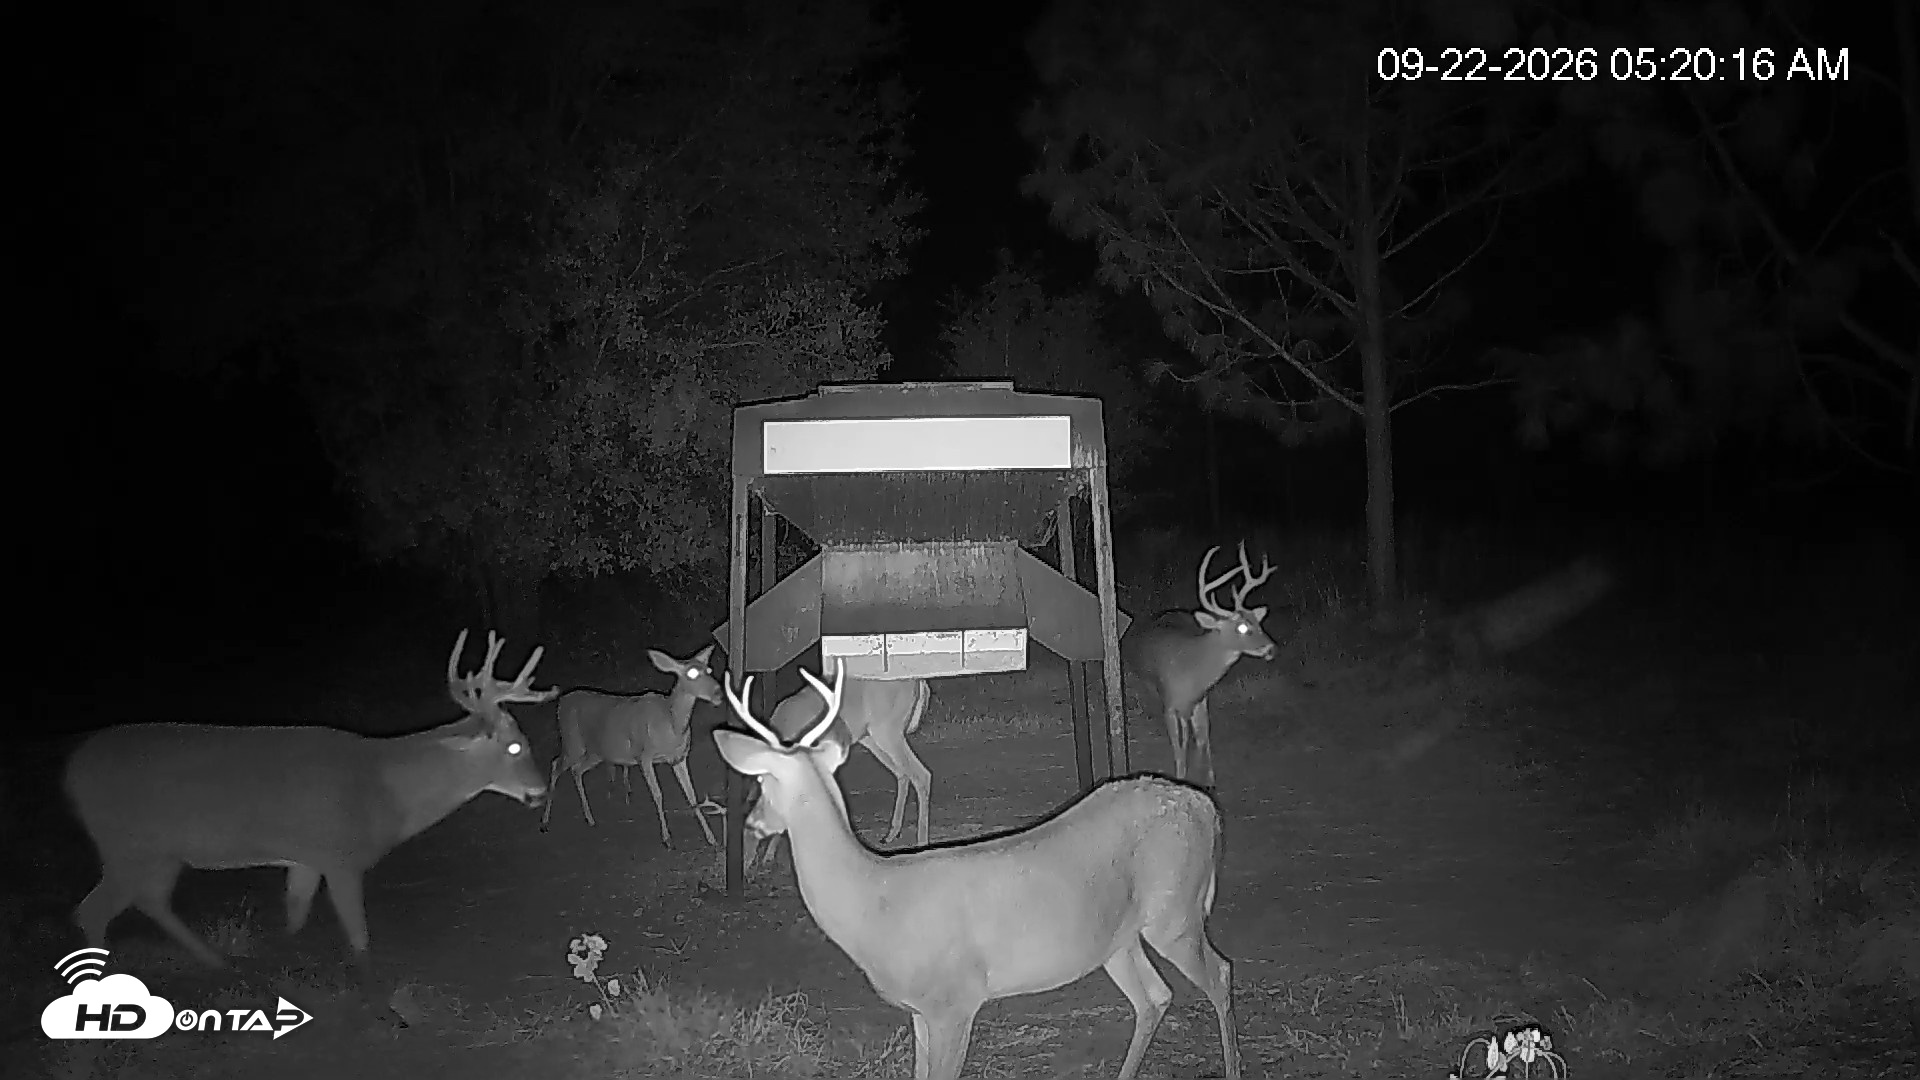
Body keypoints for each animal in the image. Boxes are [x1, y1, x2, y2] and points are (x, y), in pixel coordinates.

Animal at [63, 629, 554, 993]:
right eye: (515, 747)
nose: (540, 790)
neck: (383, 790)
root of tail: (70, 772)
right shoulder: (340, 856)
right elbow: (359, 938)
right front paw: (378, 998)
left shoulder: (305, 857)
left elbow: (295, 916)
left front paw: (288, 969)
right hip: (125, 843)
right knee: (92, 910)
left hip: (160, 852)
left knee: (149, 899)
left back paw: (217, 962)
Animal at [539, 645, 720, 848]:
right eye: (691, 673)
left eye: (709, 670)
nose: (718, 692)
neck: (670, 726)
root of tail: (561, 702)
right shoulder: (644, 755)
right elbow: (658, 794)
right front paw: (667, 839)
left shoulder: (679, 758)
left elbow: (692, 795)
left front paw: (711, 838)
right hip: (573, 741)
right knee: (556, 764)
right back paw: (545, 822)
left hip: (596, 752)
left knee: (576, 770)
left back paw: (590, 819)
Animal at [744, 673, 931, 872]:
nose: (746, 866)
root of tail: (918, 681)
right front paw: (769, 855)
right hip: (870, 736)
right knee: (902, 774)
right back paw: (891, 834)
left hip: (888, 730)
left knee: (921, 775)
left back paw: (922, 843)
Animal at [1121, 540, 1278, 788]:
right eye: (1242, 627)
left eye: (1258, 621)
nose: (1271, 649)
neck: (1193, 670)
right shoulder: (1171, 704)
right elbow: (1179, 746)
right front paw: (1181, 779)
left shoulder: (1201, 700)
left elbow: (1203, 738)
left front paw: (1209, 780)